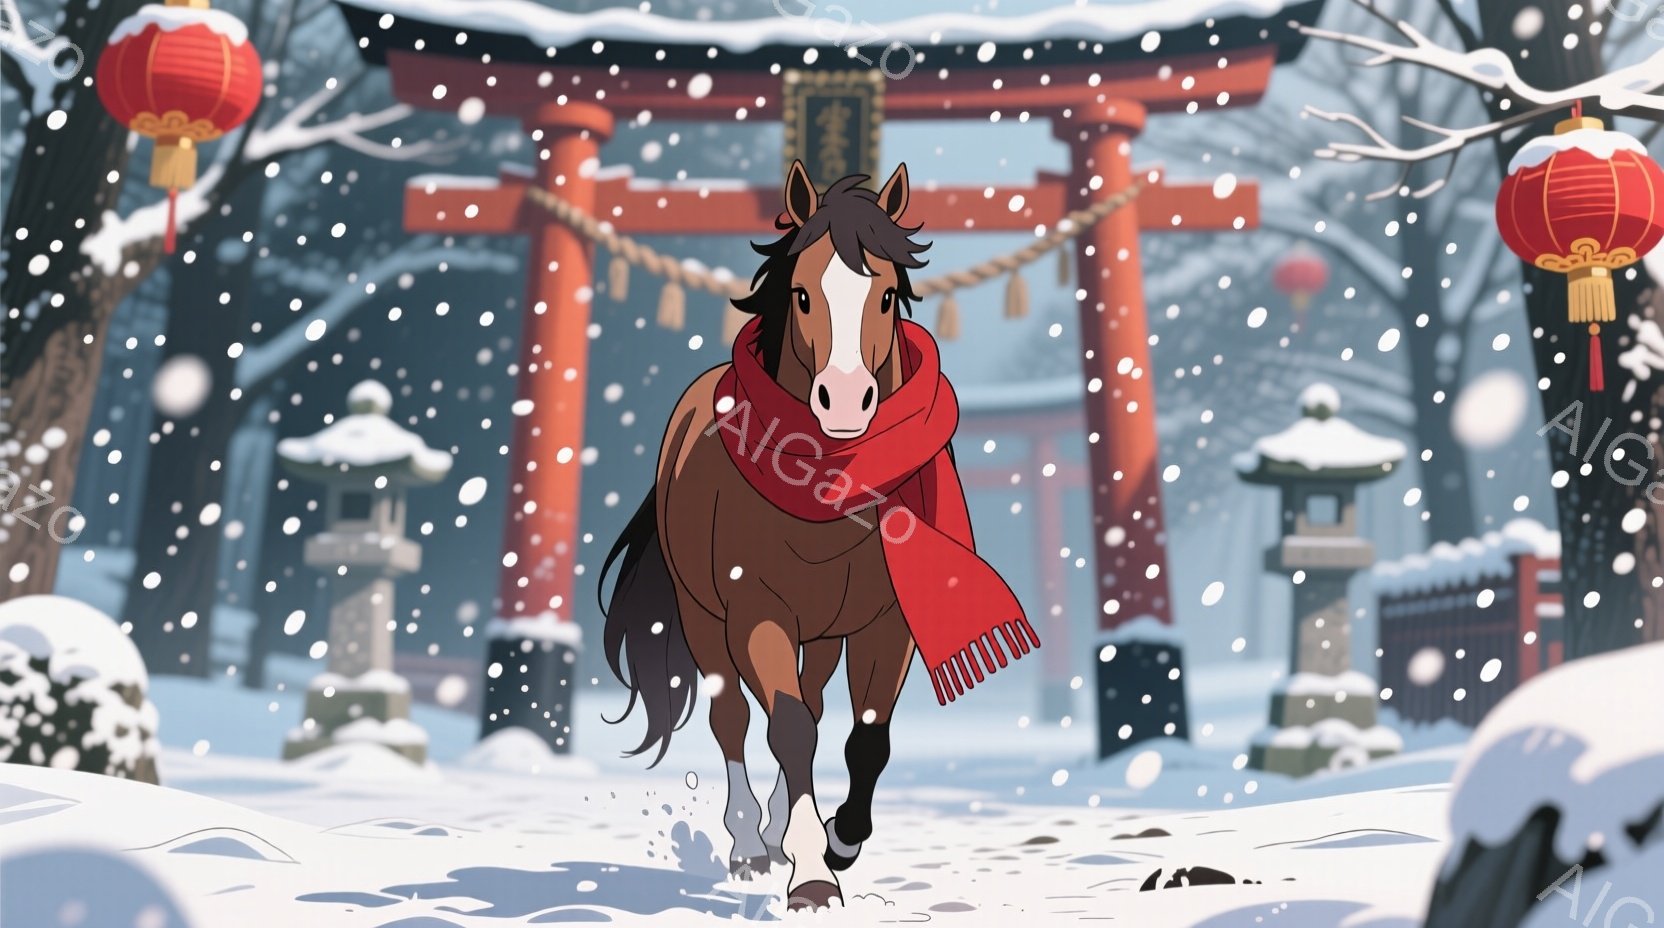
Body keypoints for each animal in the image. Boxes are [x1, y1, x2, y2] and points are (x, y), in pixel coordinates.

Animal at [601, 160, 1038, 911]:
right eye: (802, 294)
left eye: (887, 295)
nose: (844, 400)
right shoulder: (757, 613)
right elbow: (788, 729)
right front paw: (808, 872)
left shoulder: (887, 623)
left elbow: (866, 739)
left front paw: (839, 839)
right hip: (705, 617)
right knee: (734, 719)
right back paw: (751, 844)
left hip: (826, 634)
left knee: (812, 699)